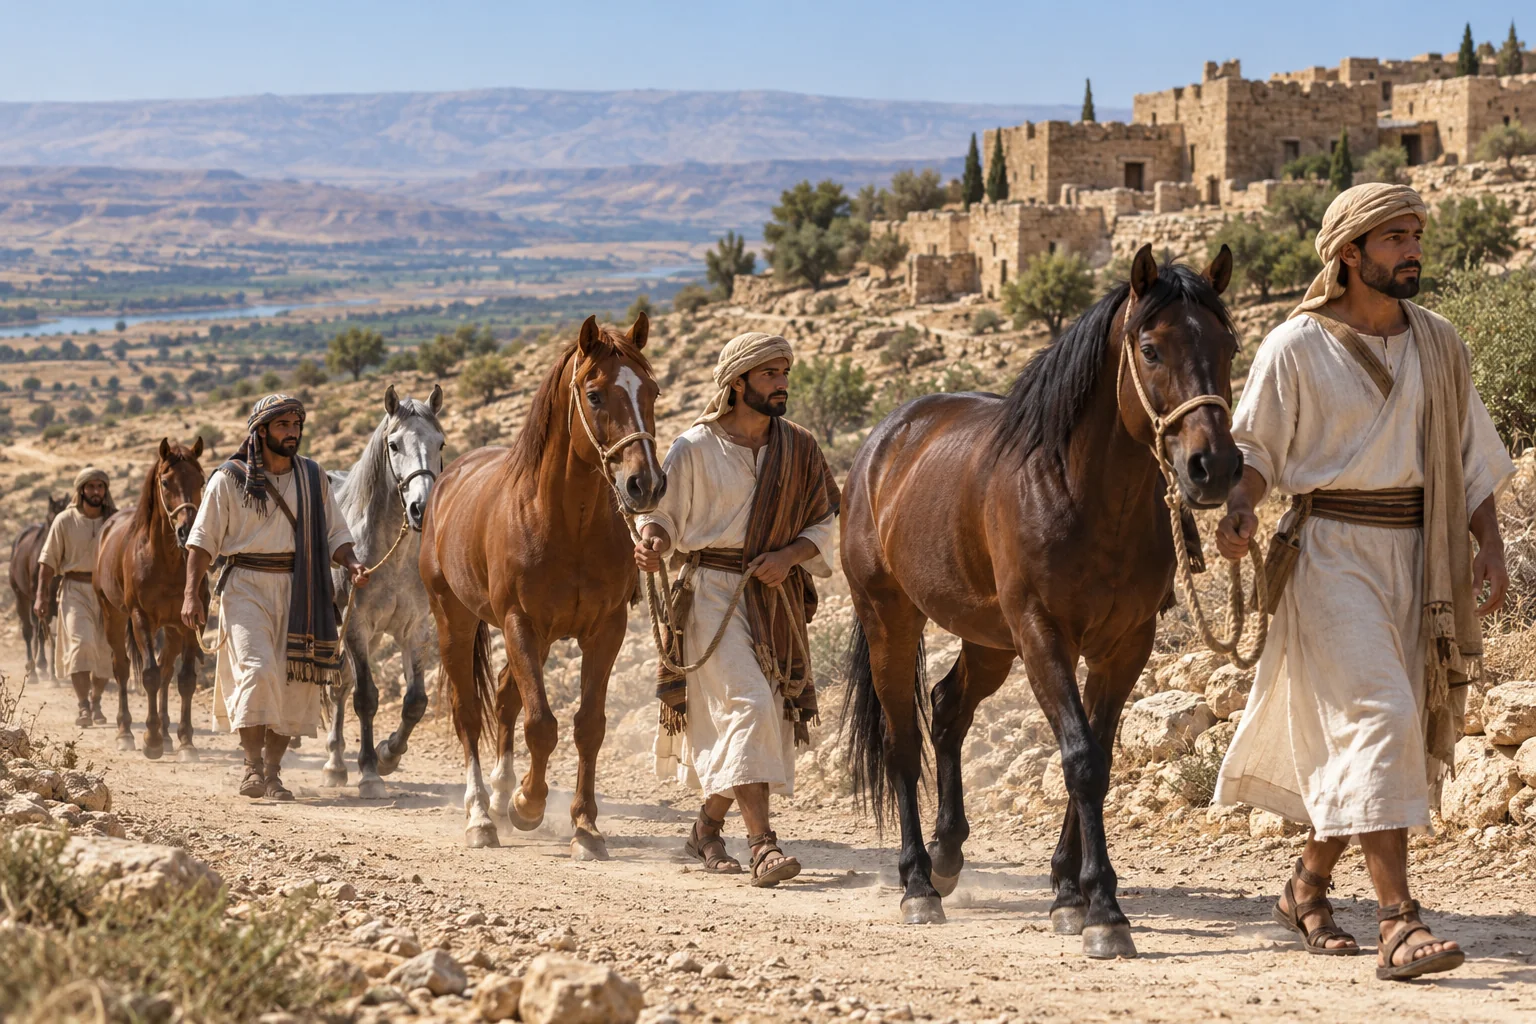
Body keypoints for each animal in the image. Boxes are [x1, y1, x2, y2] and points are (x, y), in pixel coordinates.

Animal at [8, 494, 69, 685]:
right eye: (50, 519)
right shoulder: (40, 600)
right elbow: (42, 632)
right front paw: (43, 666)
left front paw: (53, 673)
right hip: (22, 597)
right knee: (29, 631)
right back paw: (34, 670)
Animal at [96, 438, 208, 760]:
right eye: (166, 482)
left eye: (201, 480)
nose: (187, 530)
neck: (165, 561)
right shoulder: (140, 619)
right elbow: (149, 675)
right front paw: (152, 740)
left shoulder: (191, 622)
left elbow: (185, 680)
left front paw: (185, 741)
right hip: (113, 616)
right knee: (122, 668)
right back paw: (125, 732)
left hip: (171, 629)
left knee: (167, 670)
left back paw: (168, 734)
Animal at [321, 383, 446, 799]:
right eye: (393, 444)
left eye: (440, 443)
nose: (421, 507)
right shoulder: (357, 627)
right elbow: (366, 697)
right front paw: (370, 772)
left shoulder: (415, 629)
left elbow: (415, 701)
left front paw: (389, 753)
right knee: (340, 687)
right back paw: (335, 763)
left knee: (341, 685)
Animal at [422, 313, 664, 857]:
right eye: (594, 394)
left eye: (653, 391)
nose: (645, 484)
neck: (566, 523)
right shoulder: (519, 623)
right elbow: (541, 724)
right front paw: (528, 805)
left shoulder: (605, 630)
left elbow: (588, 726)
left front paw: (585, 826)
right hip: (455, 619)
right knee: (469, 713)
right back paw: (481, 815)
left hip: (545, 638)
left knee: (505, 696)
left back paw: (499, 794)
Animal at [840, 245, 1239, 958]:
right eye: (1150, 348)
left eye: (1229, 343)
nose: (1212, 467)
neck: (1082, 492)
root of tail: (883, 442)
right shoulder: (1041, 635)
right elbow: (1080, 759)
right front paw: (1103, 911)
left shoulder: (1123, 645)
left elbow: (1099, 756)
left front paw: (1068, 893)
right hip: (891, 618)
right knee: (903, 740)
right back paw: (917, 883)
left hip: (986, 640)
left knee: (947, 709)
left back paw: (948, 857)